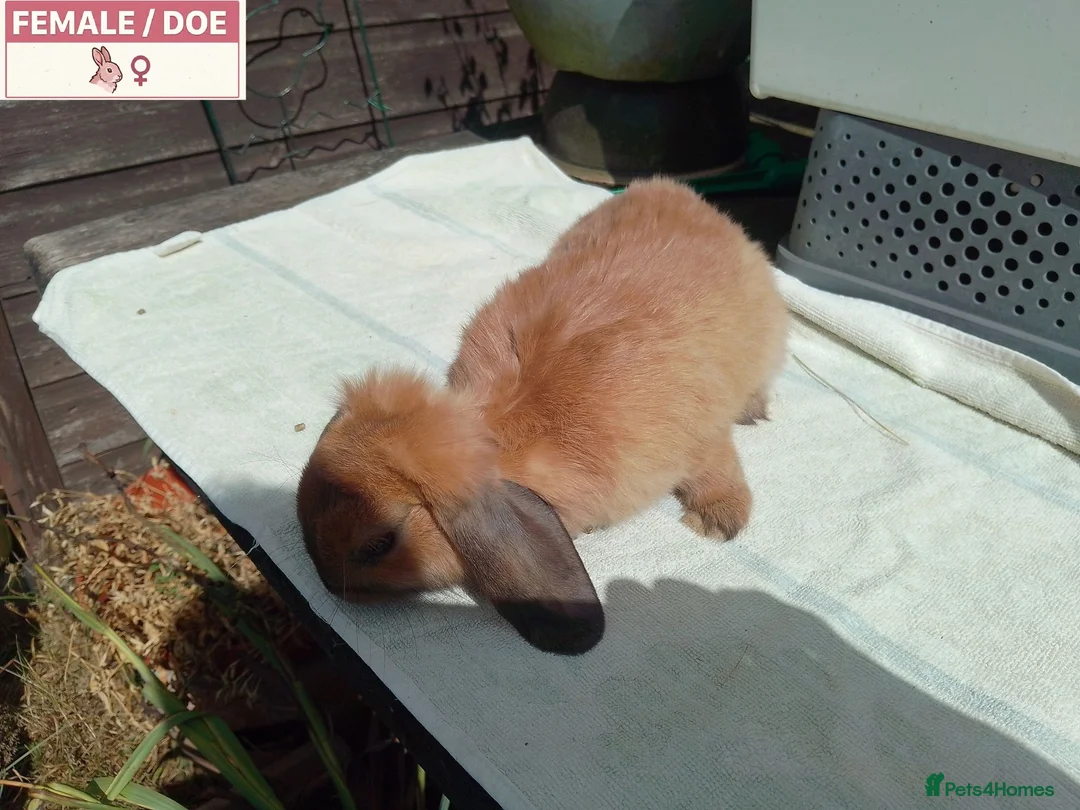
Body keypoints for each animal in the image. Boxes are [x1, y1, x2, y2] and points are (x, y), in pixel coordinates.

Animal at [296, 176, 789, 655]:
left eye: (379, 544)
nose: (329, 587)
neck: (507, 431)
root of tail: (673, 189)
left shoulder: (702, 439)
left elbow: (716, 470)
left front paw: (717, 522)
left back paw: (753, 412)